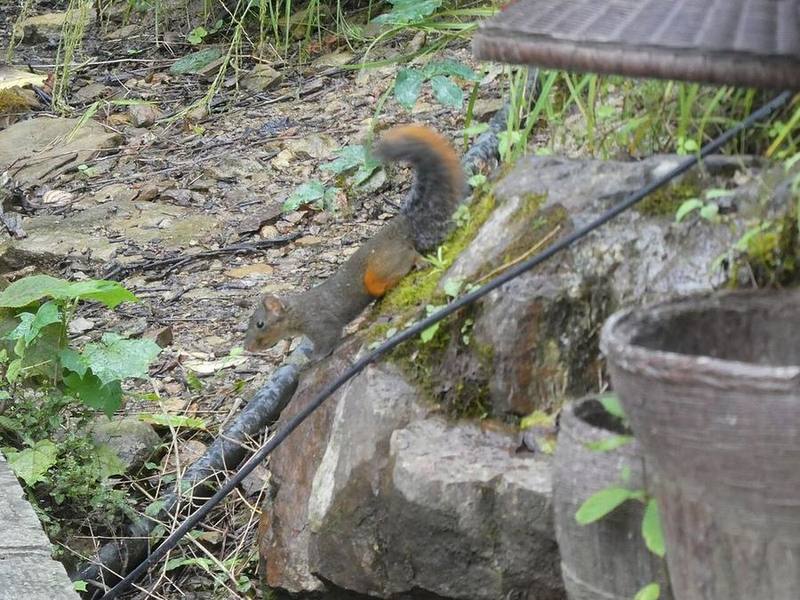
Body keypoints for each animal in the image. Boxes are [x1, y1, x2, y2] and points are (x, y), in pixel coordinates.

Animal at [244, 124, 465, 359]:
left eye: (260, 324)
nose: (248, 347)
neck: (299, 311)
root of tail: (402, 226)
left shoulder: (322, 324)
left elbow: (327, 343)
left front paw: (312, 357)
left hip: (382, 268)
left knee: (409, 255)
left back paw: (418, 262)